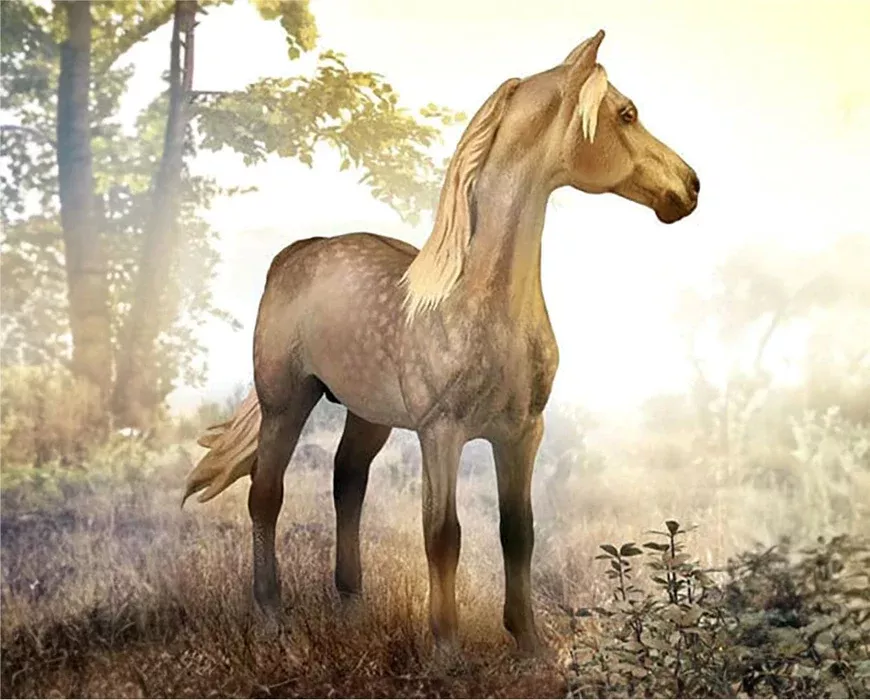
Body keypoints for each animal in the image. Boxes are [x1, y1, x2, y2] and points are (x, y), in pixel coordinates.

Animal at [183, 30, 700, 654]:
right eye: (626, 113)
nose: (690, 187)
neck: (484, 306)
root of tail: (298, 254)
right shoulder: (442, 433)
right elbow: (443, 535)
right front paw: (446, 648)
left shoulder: (522, 433)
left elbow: (518, 532)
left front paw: (529, 642)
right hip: (287, 402)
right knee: (266, 495)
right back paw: (270, 617)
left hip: (367, 415)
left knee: (347, 483)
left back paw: (351, 606)